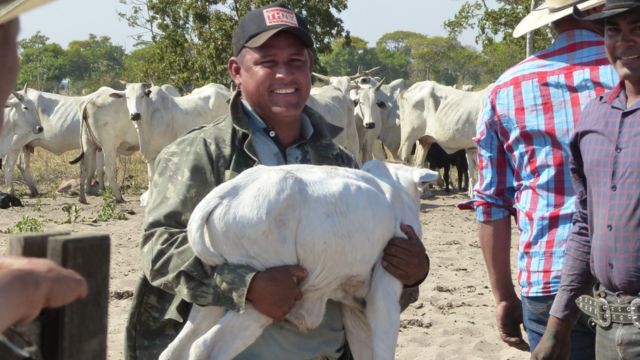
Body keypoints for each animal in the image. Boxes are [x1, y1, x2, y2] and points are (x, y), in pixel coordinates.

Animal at [160, 160, 440, 360]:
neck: (395, 189)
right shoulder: (383, 290)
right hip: (265, 298)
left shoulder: (355, 305)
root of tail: (223, 194)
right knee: (204, 347)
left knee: (175, 350)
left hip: (218, 295)